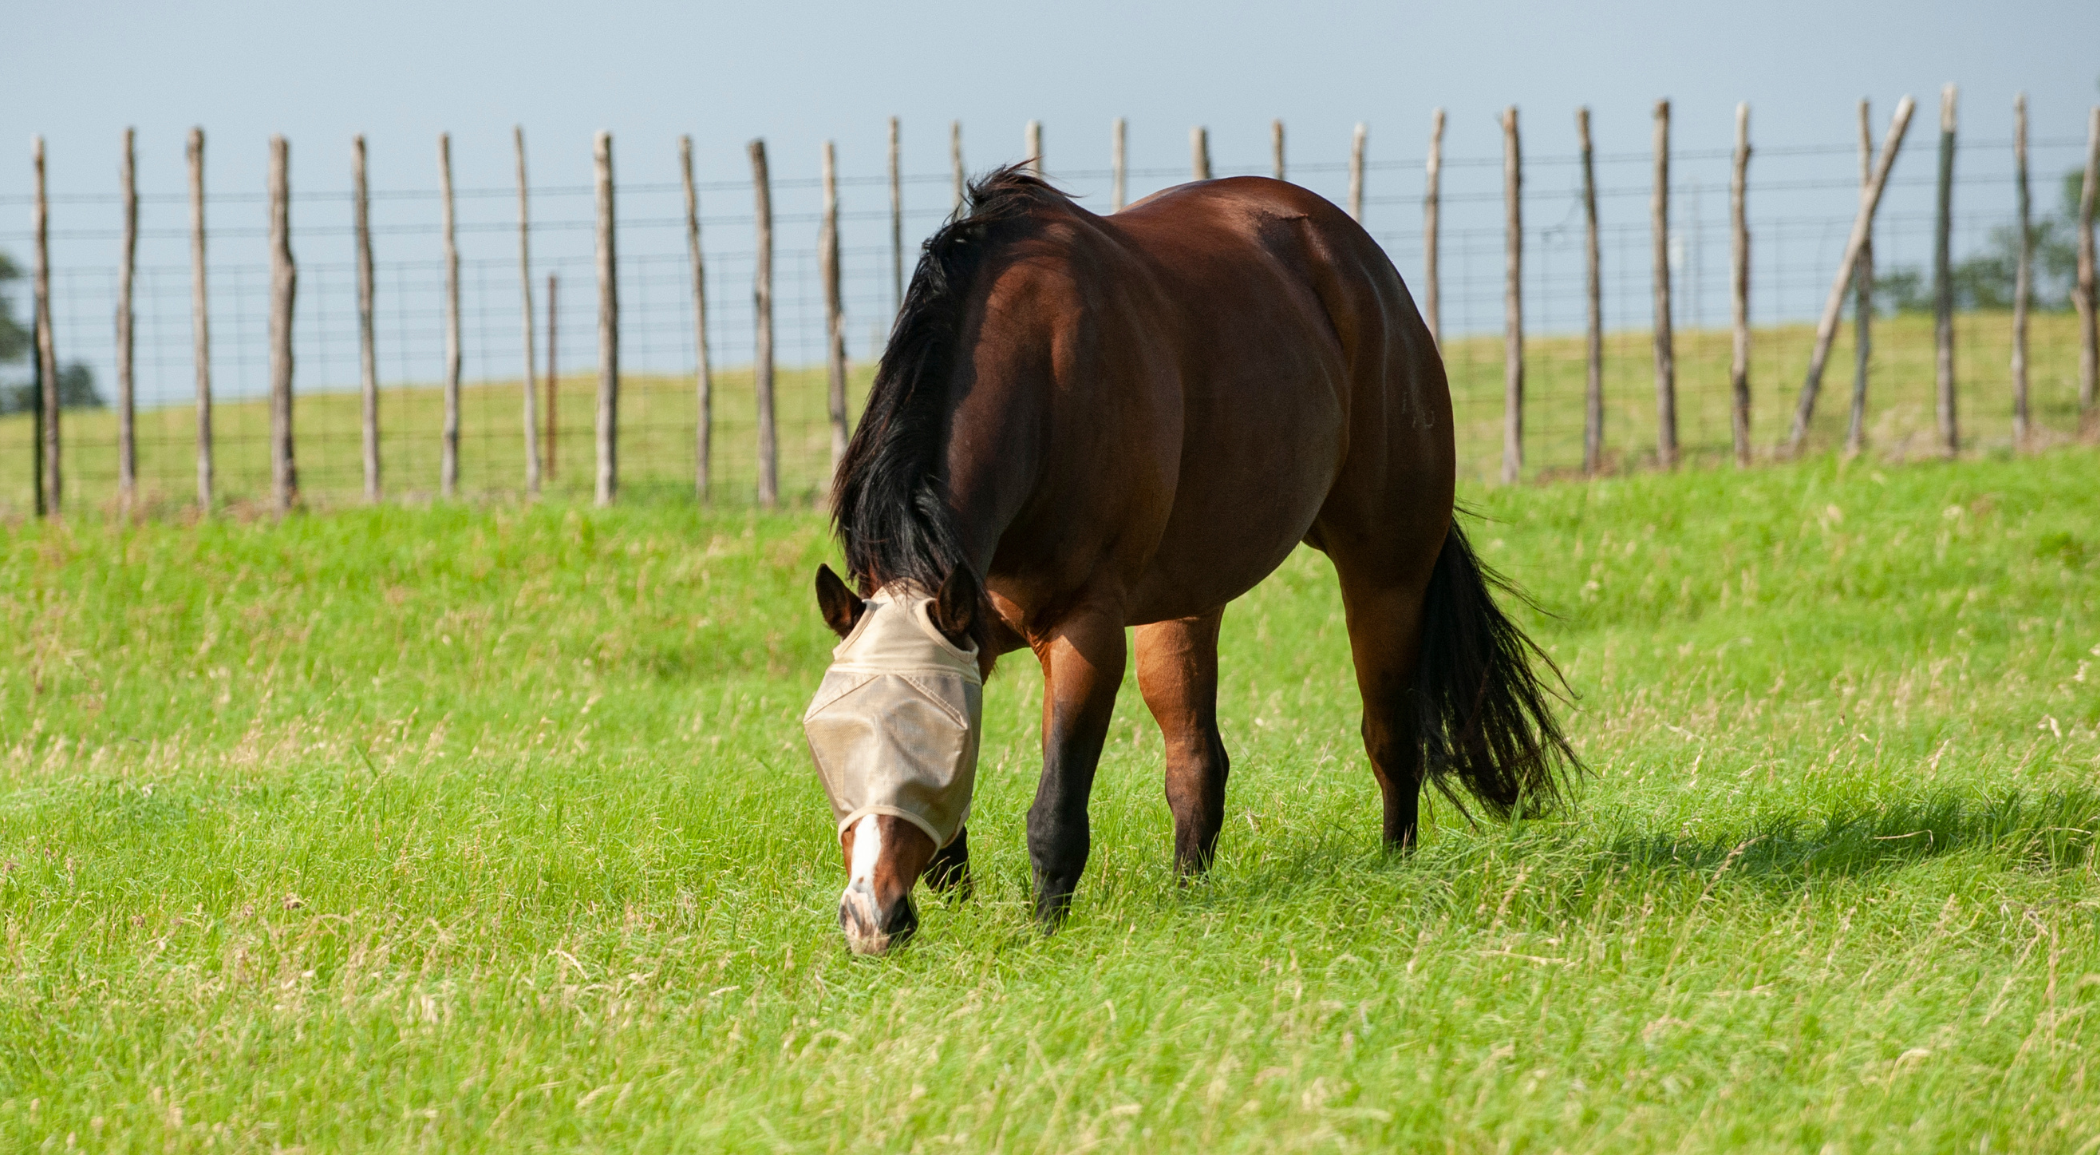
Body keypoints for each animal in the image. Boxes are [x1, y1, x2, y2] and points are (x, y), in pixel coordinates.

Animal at [804, 166, 1575, 955]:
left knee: (1391, 737)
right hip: (1184, 603)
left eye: (929, 738)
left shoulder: (1085, 631)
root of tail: (1365, 266)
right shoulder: (971, 627)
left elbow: (1056, 811)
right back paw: (1189, 896)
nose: (868, 917)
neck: (1043, 385)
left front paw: (1045, 933)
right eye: (825, 739)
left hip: (1386, 573)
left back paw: (1395, 869)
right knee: (1197, 762)